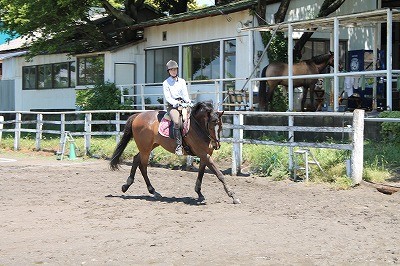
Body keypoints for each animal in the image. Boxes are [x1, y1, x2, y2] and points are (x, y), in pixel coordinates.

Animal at [109, 101, 241, 205]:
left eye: (221, 126)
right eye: (211, 125)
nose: (216, 145)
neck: (198, 127)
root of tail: (138, 115)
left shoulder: (204, 156)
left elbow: (201, 174)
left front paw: (199, 193)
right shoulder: (204, 155)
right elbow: (220, 175)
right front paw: (233, 196)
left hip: (149, 146)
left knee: (136, 159)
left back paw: (127, 186)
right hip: (145, 148)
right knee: (143, 166)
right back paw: (153, 191)